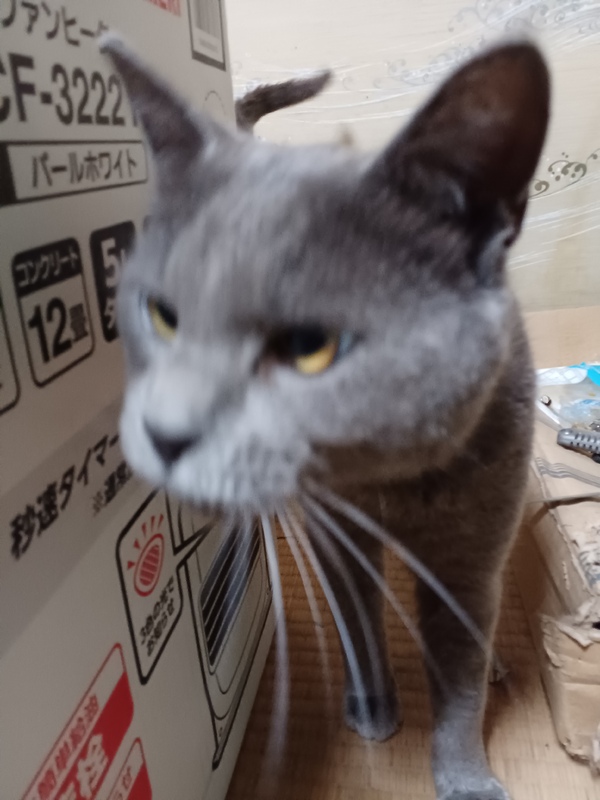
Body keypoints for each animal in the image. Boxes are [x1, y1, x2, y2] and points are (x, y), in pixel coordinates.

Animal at [100, 34, 549, 800]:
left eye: (311, 347)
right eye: (162, 315)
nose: (165, 434)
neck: (389, 486)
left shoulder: (472, 545)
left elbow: (460, 663)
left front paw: (466, 775)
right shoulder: (332, 535)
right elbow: (360, 624)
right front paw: (372, 712)